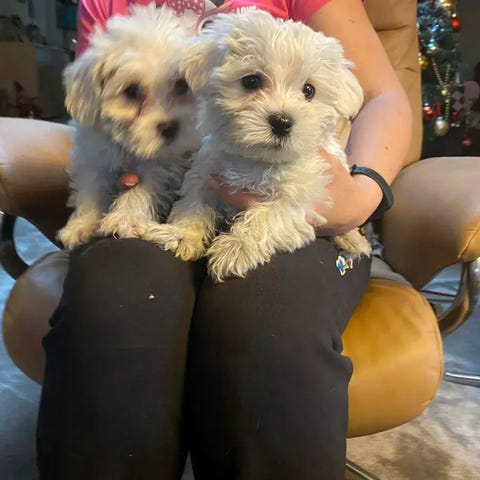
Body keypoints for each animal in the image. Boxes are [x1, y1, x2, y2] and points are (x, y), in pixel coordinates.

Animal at [57, 4, 202, 250]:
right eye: (132, 91)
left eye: (181, 85)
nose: (170, 128)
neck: (127, 144)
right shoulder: (94, 156)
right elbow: (91, 188)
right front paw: (82, 224)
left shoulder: (160, 165)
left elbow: (141, 187)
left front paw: (126, 219)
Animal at [149, 10, 371, 282]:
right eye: (251, 81)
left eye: (309, 90)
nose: (282, 122)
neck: (258, 159)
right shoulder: (206, 173)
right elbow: (193, 203)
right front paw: (183, 235)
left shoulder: (302, 195)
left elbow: (266, 217)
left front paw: (235, 248)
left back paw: (353, 241)